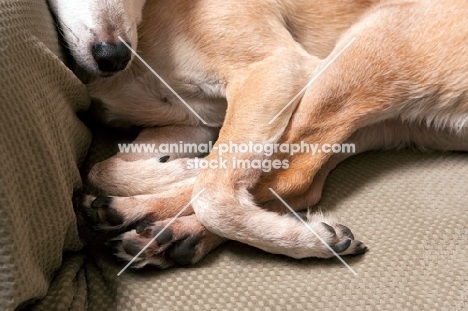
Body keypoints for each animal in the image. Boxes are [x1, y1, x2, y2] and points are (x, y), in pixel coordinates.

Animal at [48, 0, 468, 268]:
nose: (112, 56)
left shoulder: (272, 71)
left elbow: (214, 191)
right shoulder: (193, 121)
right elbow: (104, 168)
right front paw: (176, 166)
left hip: (355, 63)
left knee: (276, 177)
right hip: (384, 120)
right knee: (298, 183)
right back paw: (163, 230)